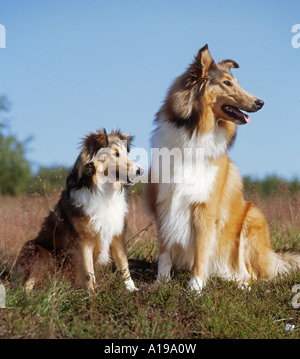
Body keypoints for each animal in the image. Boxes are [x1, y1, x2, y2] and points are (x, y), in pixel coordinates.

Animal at [14, 129, 144, 292]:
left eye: (125, 153)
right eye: (115, 154)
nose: (141, 171)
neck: (102, 191)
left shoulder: (116, 234)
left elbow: (123, 263)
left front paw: (132, 289)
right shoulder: (83, 240)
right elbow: (89, 272)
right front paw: (92, 294)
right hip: (41, 252)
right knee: (25, 286)